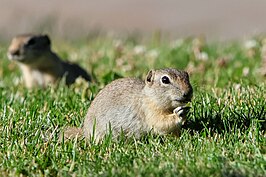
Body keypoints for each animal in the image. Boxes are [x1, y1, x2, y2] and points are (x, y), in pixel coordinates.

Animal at [62, 68, 193, 141]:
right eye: (165, 80)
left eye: (187, 76)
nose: (188, 93)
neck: (148, 96)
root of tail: (85, 132)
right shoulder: (149, 111)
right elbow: (161, 122)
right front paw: (180, 113)